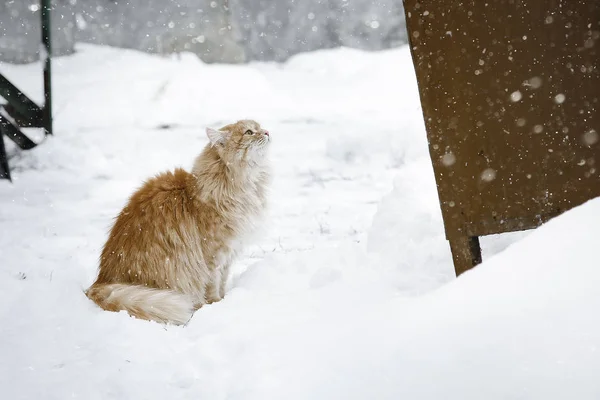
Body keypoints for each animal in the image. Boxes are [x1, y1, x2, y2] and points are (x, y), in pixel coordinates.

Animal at [85, 119, 270, 324]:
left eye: (260, 127)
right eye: (249, 132)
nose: (267, 132)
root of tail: (101, 280)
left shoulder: (228, 255)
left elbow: (222, 284)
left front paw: (224, 300)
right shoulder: (213, 256)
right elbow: (212, 287)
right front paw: (216, 306)